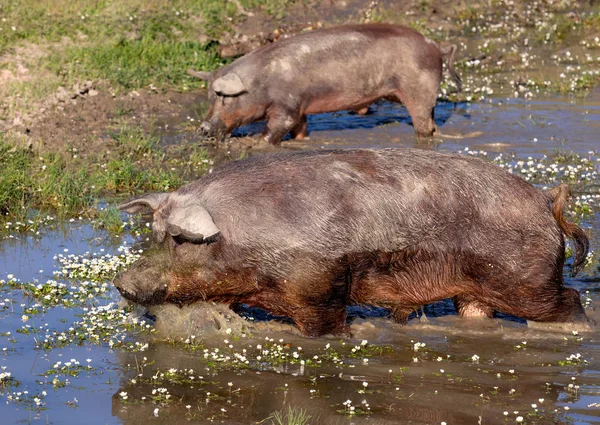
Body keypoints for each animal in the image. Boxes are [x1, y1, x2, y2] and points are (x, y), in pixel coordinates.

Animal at [115, 147, 588, 336]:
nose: (122, 282)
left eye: (179, 239)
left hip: (526, 280)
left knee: (571, 300)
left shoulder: (317, 288)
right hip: (477, 290)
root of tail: (547, 201)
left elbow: (324, 326)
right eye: (153, 234)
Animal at [190, 24, 462, 145]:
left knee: (424, 126)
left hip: (419, 92)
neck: (261, 83)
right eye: (210, 96)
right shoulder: (300, 107)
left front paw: (253, 143)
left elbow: (276, 128)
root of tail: (436, 46)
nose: (202, 129)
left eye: (224, 97)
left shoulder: (286, 105)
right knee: (433, 124)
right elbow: (299, 129)